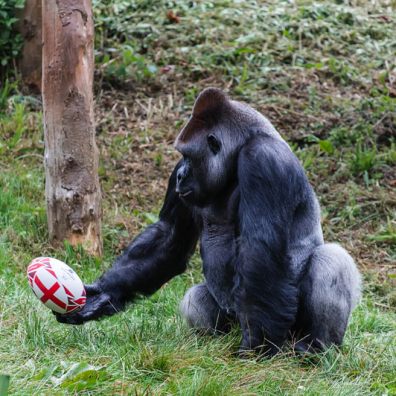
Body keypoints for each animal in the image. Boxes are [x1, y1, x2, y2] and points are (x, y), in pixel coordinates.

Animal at [56, 88, 362, 358]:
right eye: (181, 157)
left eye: (188, 156)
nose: (181, 175)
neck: (241, 146)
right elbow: (169, 237)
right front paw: (104, 295)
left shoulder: (263, 159)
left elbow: (258, 252)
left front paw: (258, 344)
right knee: (196, 298)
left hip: (291, 332)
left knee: (330, 260)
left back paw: (315, 347)